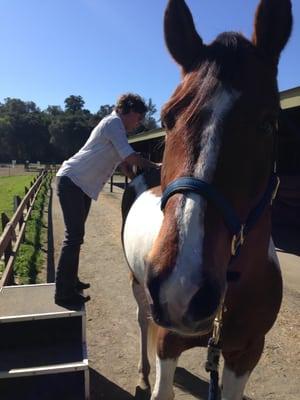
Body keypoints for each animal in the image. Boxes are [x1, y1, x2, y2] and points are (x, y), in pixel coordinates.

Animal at [120, 1, 292, 398]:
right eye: (168, 118)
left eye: (268, 123)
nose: (182, 290)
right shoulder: (167, 342)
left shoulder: (247, 352)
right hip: (138, 286)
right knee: (141, 320)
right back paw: (142, 374)